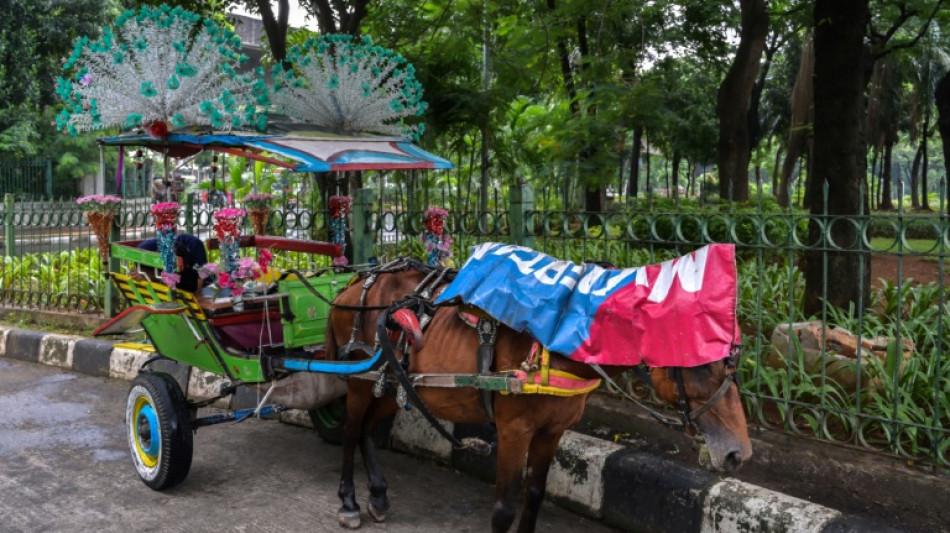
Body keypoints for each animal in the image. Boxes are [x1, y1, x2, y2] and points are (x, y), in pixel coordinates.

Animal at [328, 260, 752, 528]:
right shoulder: (515, 430)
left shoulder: (552, 431)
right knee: (349, 431)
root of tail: (356, 284)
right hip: (359, 378)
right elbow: (504, 507)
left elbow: (534, 495)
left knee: (366, 429)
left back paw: (378, 495)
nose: (739, 454)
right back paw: (349, 501)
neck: (558, 345)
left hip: (392, 382)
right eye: (700, 365)